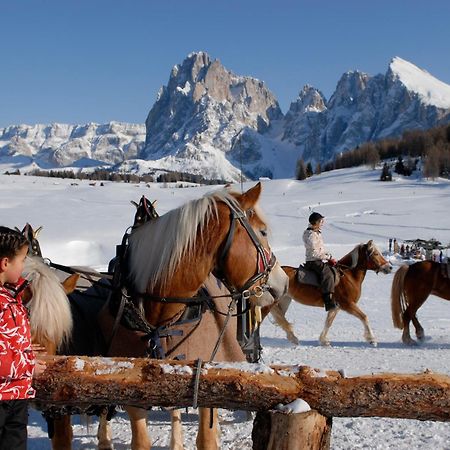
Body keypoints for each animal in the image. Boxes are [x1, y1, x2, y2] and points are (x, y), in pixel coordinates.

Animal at [49, 183, 288, 450]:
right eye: (263, 232)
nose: (282, 282)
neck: (161, 316)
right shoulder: (134, 391)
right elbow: (141, 441)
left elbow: (206, 439)